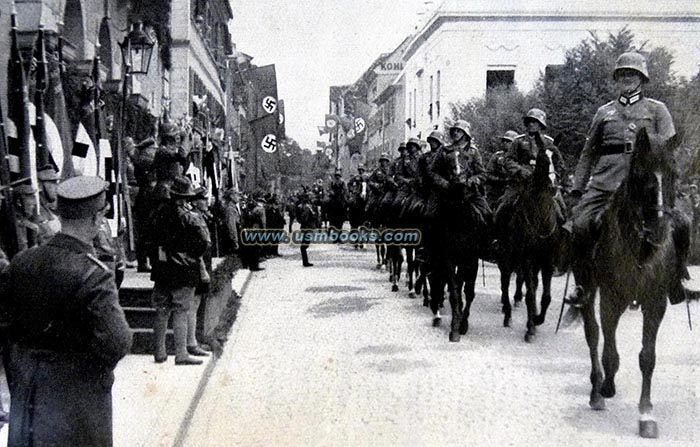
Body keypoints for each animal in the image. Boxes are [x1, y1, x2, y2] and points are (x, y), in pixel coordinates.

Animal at [498, 141, 564, 344]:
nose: (553, 186)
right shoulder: (527, 260)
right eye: (542, 159)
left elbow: (545, 296)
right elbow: (531, 294)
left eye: (558, 157)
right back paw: (507, 314)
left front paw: (537, 318)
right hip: (506, 257)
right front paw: (530, 328)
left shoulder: (547, 261)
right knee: (505, 283)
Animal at [576, 128, 688, 440]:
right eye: (639, 173)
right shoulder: (610, 299)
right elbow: (609, 353)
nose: (660, 230)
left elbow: (647, 357)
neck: (640, 246)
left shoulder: (655, 304)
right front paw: (606, 387)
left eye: (674, 173)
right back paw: (597, 390)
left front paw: (646, 413)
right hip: (588, 290)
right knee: (593, 336)